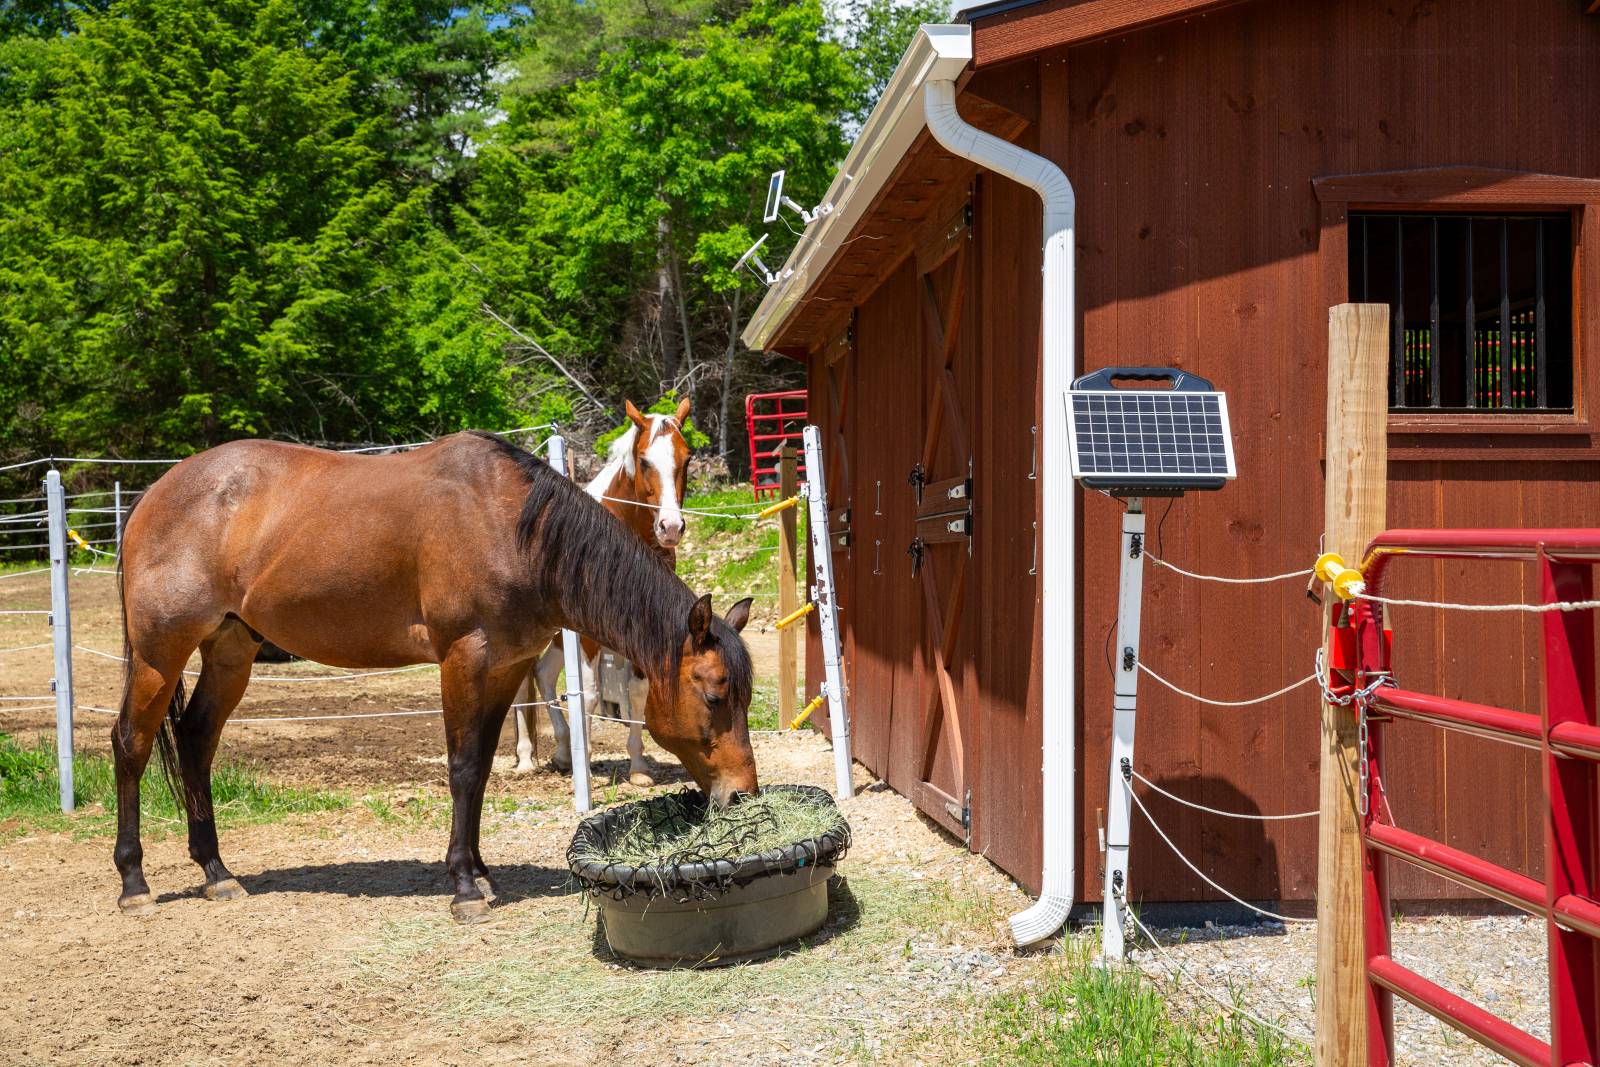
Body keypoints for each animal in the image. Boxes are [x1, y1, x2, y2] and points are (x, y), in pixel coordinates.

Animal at [512, 397, 690, 787]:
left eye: (687, 459)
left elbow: (636, 689)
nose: (670, 527)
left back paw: (563, 751)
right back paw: (526, 758)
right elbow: (590, 694)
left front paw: (638, 767)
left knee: (543, 674)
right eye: (644, 460)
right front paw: (589, 769)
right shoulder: (587, 635)